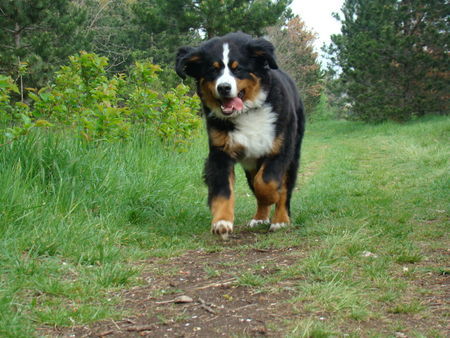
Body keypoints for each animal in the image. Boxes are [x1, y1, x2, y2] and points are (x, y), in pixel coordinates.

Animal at [174, 31, 304, 238]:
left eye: (238, 69)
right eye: (213, 70)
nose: (224, 87)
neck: (247, 112)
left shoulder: (281, 146)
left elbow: (267, 182)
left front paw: (273, 197)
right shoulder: (220, 152)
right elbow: (223, 190)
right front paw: (222, 221)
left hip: (293, 152)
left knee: (285, 188)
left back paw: (280, 220)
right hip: (251, 164)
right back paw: (260, 217)